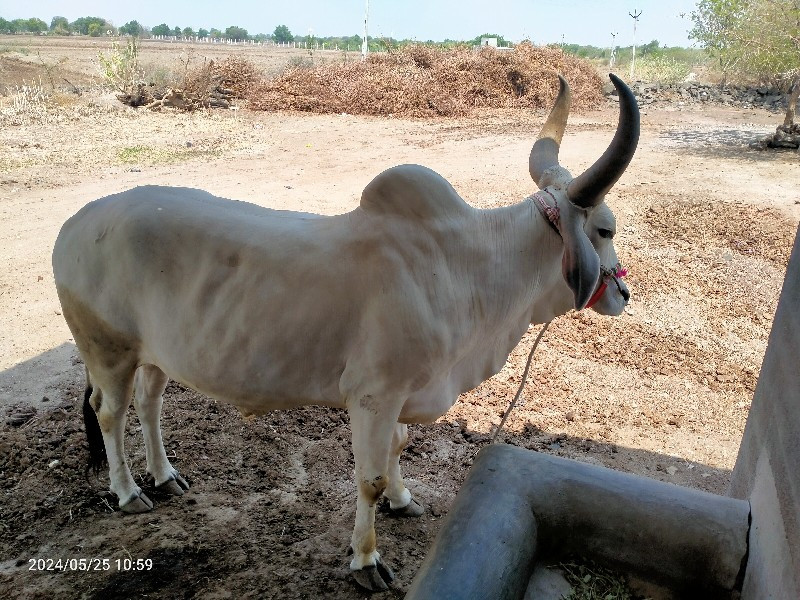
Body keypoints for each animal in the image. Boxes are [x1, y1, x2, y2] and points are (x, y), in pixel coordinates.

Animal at [51, 74, 636, 592]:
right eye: (605, 229)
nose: (624, 294)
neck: (465, 266)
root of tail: (76, 224)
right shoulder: (373, 395)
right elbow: (368, 480)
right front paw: (366, 559)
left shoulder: (400, 397)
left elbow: (400, 446)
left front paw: (404, 500)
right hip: (108, 350)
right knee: (110, 413)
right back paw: (129, 492)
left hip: (155, 355)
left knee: (149, 405)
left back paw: (166, 476)